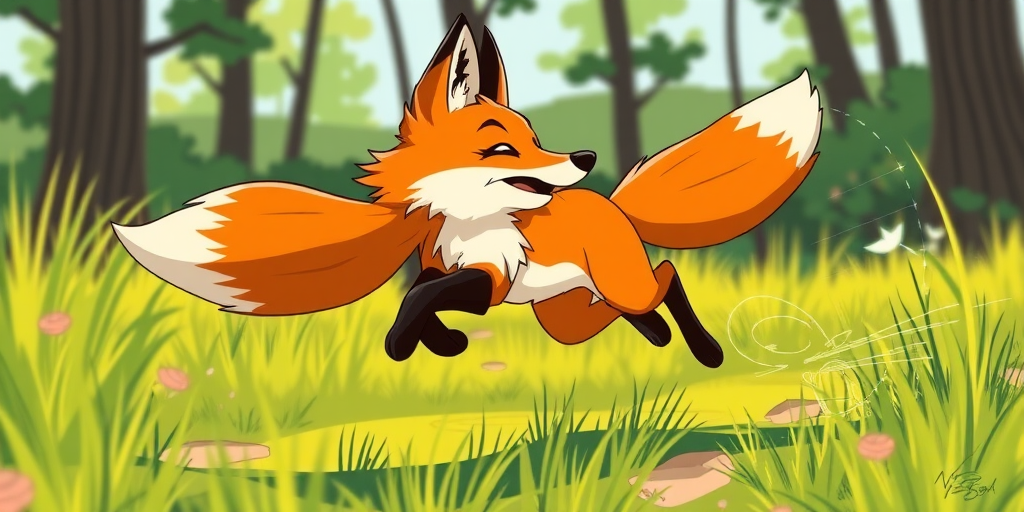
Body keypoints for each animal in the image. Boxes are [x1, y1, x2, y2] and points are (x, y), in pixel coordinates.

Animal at [112, 14, 822, 369]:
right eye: (503, 148)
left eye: (536, 137)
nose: (587, 156)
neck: (471, 221)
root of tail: (613, 203)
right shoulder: (451, 270)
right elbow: (421, 296)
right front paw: (436, 344)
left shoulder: (493, 277)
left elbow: (426, 299)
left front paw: (412, 343)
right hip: (569, 315)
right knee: (644, 301)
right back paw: (658, 339)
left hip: (605, 289)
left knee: (668, 277)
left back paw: (702, 349)